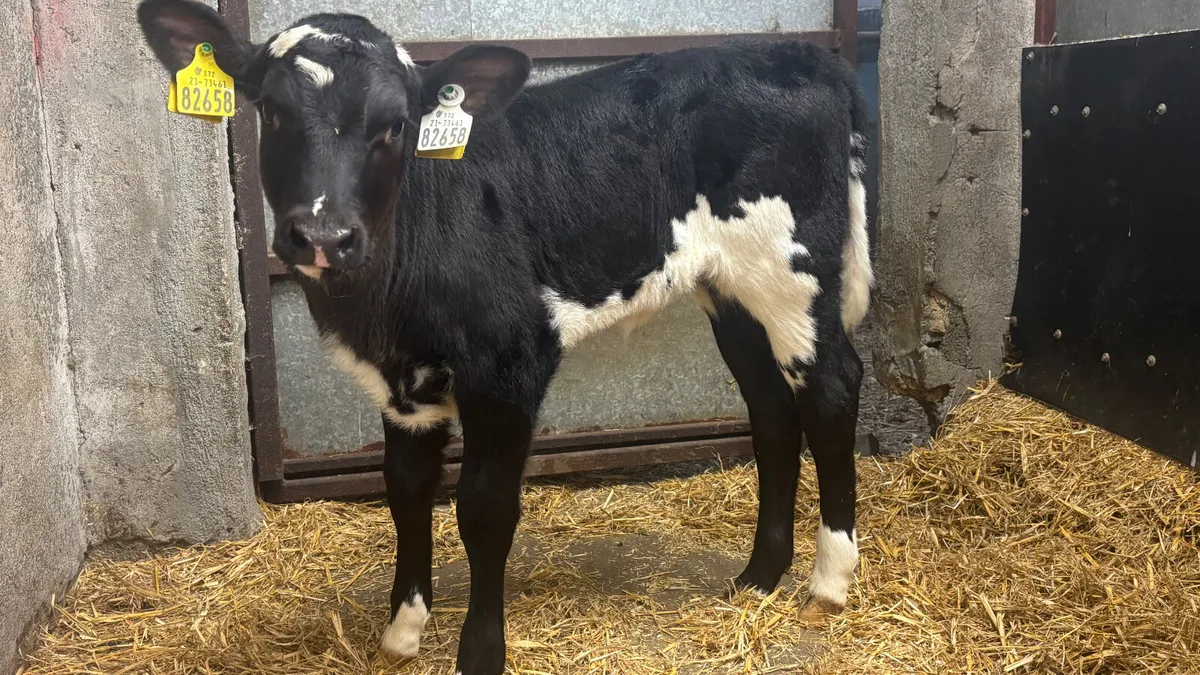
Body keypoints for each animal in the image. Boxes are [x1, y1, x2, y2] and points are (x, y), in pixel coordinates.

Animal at [137, 1, 872, 672]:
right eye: (269, 108)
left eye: (396, 124)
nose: (323, 235)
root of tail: (808, 57)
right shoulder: (403, 385)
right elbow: (406, 490)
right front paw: (402, 631)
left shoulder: (510, 362)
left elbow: (484, 507)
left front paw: (480, 652)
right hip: (734, 291)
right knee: (772, 408)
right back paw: (758, 577)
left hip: (795, 272)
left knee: (831, 387)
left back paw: (829, 579)